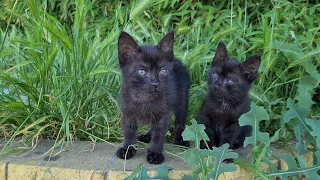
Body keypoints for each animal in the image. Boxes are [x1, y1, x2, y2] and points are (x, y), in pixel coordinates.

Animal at [115, 31, 189, 165]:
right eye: (142, 71)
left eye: (162, 71)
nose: (155, 83)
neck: (144, 97)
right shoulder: (127, 113)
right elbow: (128, 131)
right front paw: (127, 149)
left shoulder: (164, 113)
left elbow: (159, 134)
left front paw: (155, 154)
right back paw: (146, 136)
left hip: (183, 99)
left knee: (180, 121)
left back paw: (180, 139)